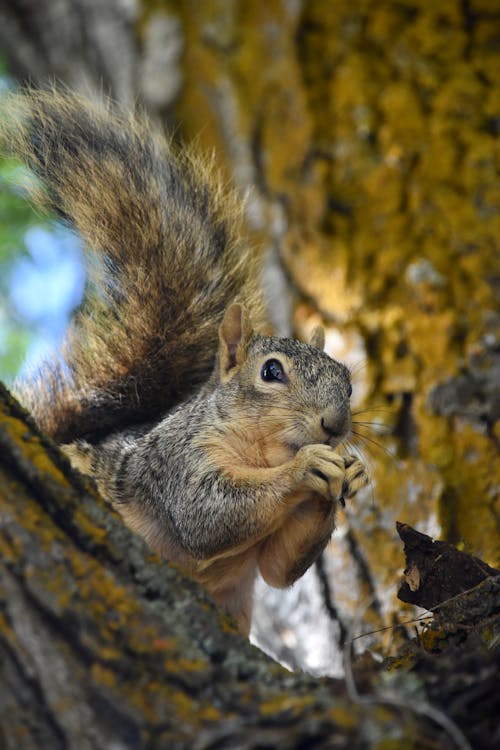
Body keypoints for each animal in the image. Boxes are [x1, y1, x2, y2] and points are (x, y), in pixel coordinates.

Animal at [1, 91, 370, 636]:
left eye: (347, 382)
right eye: (271, 372)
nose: (336, 425)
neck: (262, 455)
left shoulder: (270, 554)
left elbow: (280, 568)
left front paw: (350, 473)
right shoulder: (177, 464)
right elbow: (207, 515)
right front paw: (307, 467)